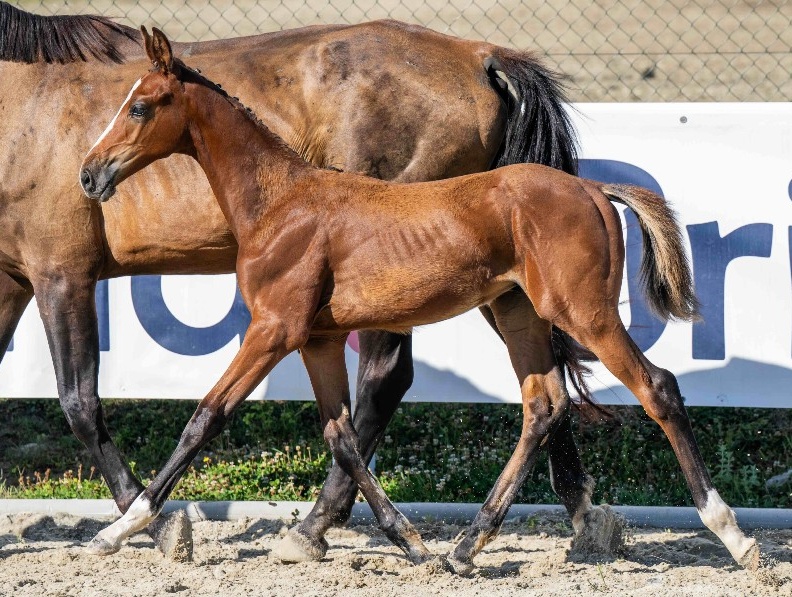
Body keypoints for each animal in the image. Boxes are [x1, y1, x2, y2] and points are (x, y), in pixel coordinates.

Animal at [0, 1, 617, 562]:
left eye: (140, 107)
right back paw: (576, 518)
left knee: (390, 380)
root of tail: (483, 56)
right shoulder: (14, 281)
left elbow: (105, 406)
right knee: (543, 390)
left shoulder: (66, 275)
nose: (88, 174)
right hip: (506, 292)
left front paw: (143, 525)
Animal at [78, 27, 759, 573]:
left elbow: (206, 417)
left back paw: (732, 534)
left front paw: (122, 528)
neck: (279, 202)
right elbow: (342, 437)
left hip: (582, 311)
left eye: (140, 106)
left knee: (657, 387)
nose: (89, 173)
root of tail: (592, 189)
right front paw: (408, 543)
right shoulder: (318, 339)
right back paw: (464, 546)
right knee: (544, 405)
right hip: (516, 313)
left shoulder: (274, 329)